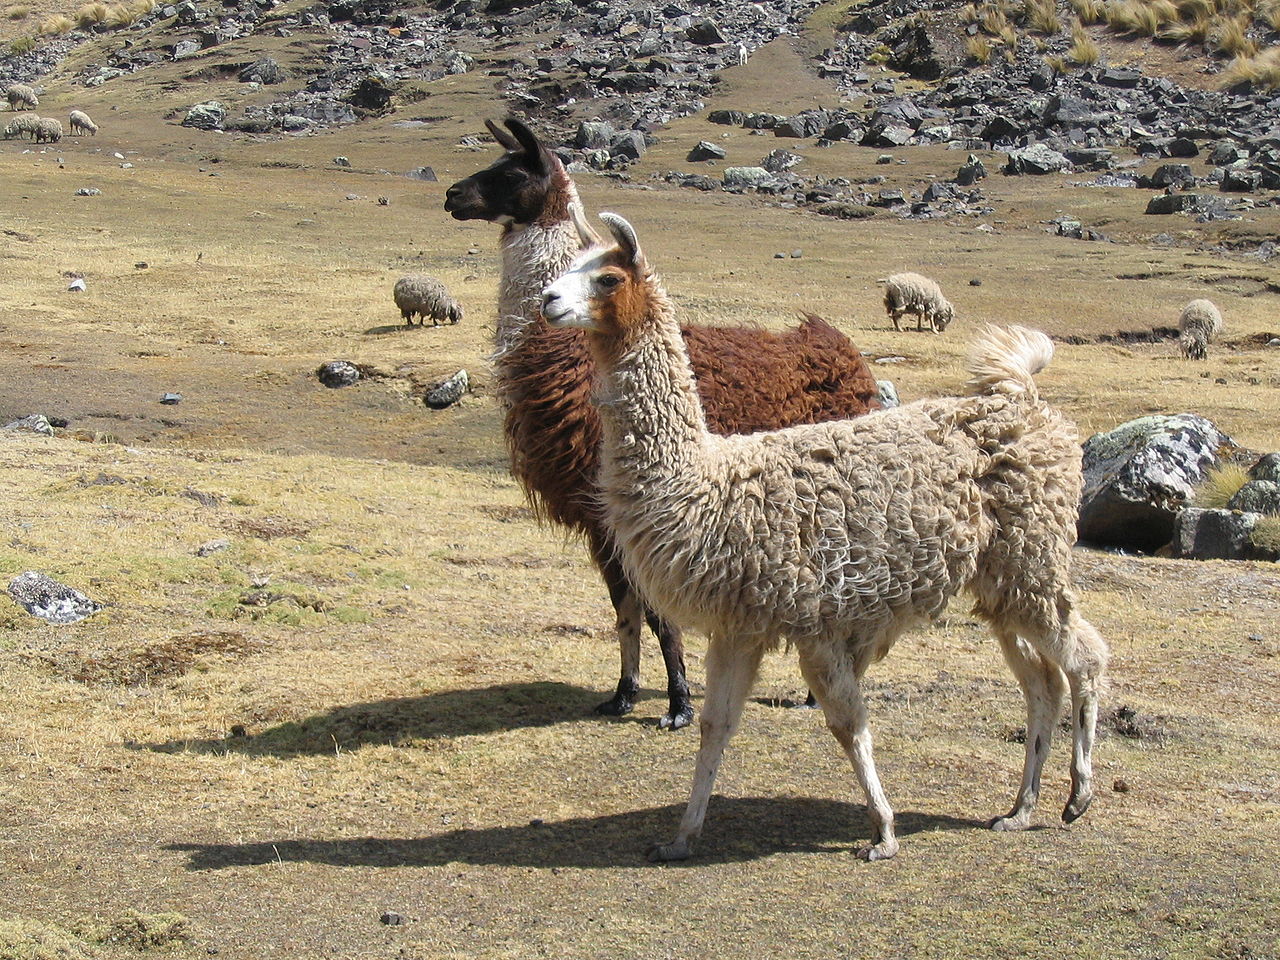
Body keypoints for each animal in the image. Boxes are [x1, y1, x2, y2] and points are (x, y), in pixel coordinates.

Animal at [445, 118, 885, 727]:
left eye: (511, 172)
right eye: (490, 162)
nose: (452, 195)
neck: (565, 361)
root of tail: (839, 346)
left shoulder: (638, 510)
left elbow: (657, 614)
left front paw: (677, 704)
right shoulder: (601, 520)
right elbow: (624, 612)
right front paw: (622, 693)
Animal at [540, 213, 1111, 870]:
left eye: (607, 277)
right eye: (569, 265)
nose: (548, 300)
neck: (706, 483)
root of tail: (1026, 403)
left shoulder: (812, 619)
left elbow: (847, 723)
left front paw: (883, 832)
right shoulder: (740, 625)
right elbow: (716, 725)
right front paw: (682, 836)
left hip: (1032, 562)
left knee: (1086, 658)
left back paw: (1078, 796)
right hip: (1003, 582)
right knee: (1043, 684)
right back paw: (1019, 810)